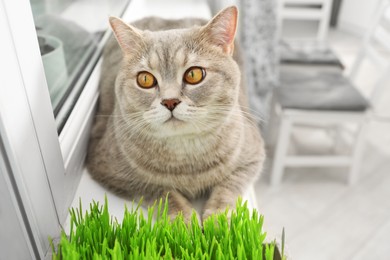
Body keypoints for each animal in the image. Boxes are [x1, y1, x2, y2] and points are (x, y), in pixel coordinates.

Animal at [86, 5, 266, 221]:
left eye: (194, 74)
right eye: (145, 79)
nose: (169, 101)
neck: (185, 153)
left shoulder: (251, 157)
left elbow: (228, 187)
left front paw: (219, 218)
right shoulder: (109, 170)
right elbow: (162, 192)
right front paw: (185, 220)